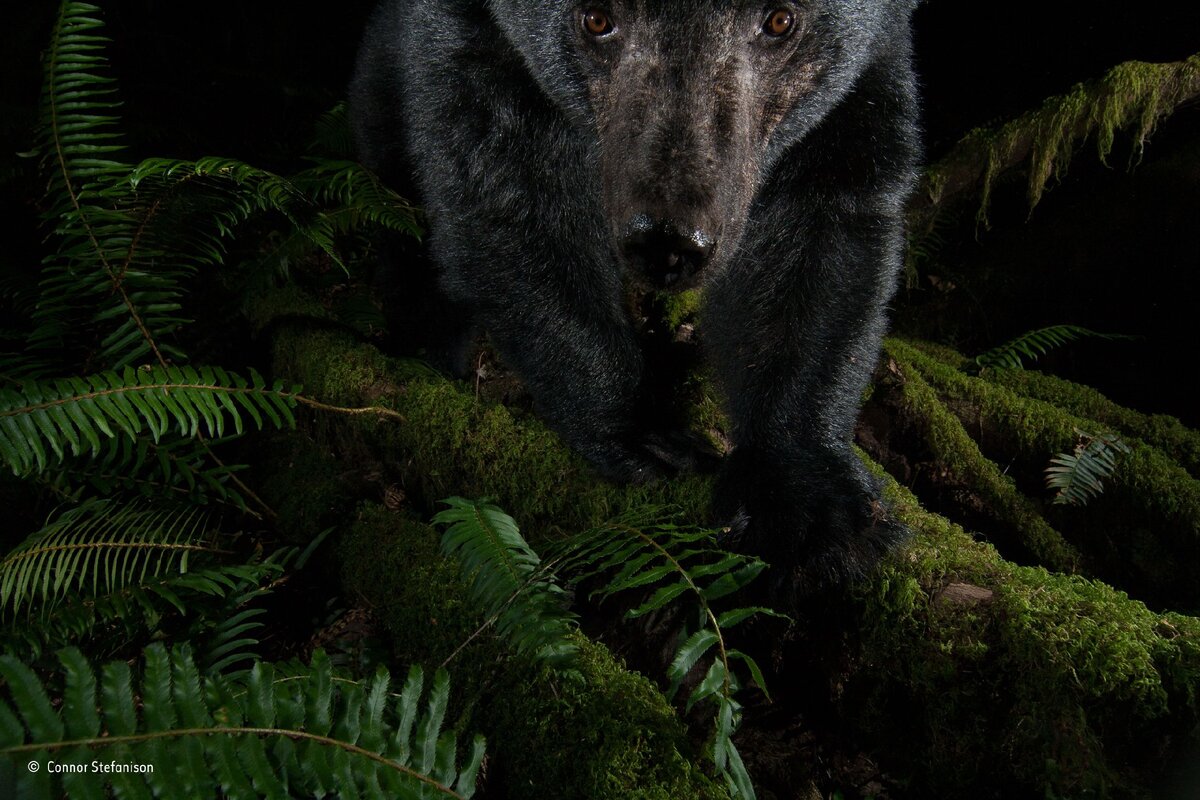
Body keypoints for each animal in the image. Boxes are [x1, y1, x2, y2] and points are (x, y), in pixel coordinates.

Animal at [350, 0, 921, 594]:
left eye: (780, 21)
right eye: (597, 20)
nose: (668, 239)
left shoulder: (872, 67)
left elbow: (820, 233)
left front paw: (806, 504)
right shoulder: (463, 36)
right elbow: (502, 186)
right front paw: (642, 432)